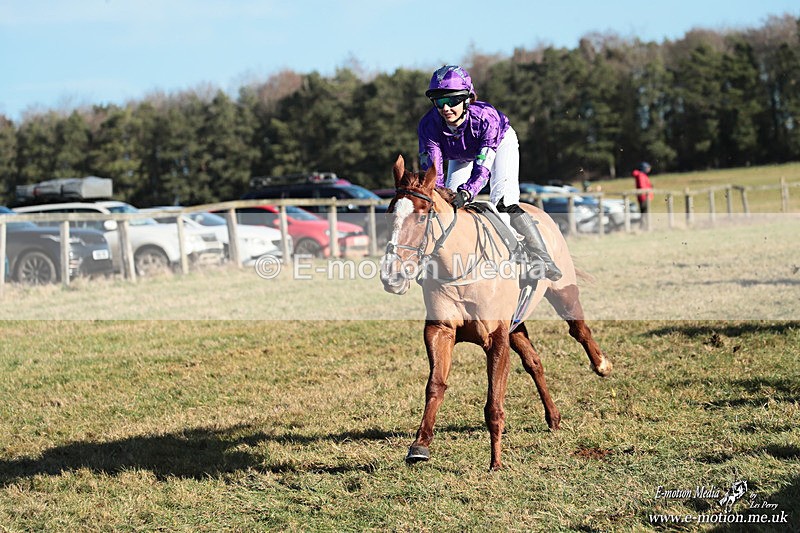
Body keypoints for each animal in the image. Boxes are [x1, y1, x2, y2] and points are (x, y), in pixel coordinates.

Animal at [380, 155, 612, 471]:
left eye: (422, 215)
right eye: (390, 213)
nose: (391, 276)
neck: (461, 267)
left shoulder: (495, 338)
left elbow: (494, 401)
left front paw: (496, 461)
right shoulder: (440, 330)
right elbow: (435, 385)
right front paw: (420, 445)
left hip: (563, 292)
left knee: (579, 329)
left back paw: (602, 365)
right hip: (517, 322)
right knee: (534, 362)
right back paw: (553, 417)